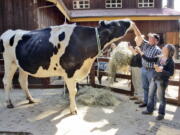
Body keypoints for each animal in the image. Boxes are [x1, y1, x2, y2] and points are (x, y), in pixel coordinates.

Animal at [0, 19, 132, 114]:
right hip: (9, 61)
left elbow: (74, 90)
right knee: (6, 81)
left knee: (23, 81)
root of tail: (8, 32)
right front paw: (73, 109)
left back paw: (30, 99)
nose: (129, 21)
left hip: (22, 64)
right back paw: (9, 103)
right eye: (116, 24)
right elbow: (73, 91)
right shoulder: (69, 70)